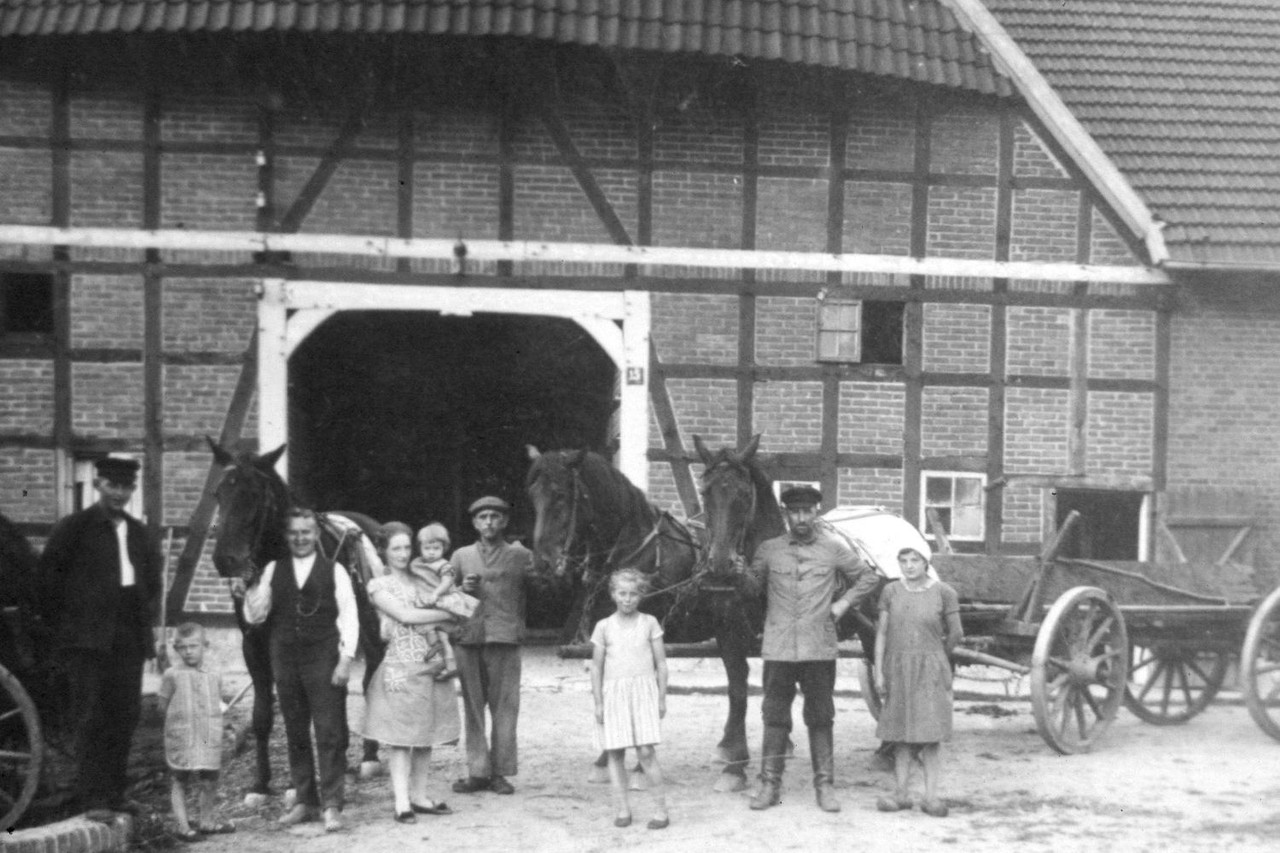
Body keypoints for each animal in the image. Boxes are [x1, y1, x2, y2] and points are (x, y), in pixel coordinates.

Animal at [207, 438, 386, 799]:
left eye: (255, 495)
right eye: (219, 491)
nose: (225, 559)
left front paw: (295, 785)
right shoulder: (253, 643)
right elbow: (264, 713)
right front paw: (261, 784)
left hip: (370, 628)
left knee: (369, 676)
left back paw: (369, 757)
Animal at [527, 440, 762, 788]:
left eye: (560, 495)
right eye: (533, 494)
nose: (542, 564)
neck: (633, 553)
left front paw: (640, 765)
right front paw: (606, 760)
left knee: (742, 683)